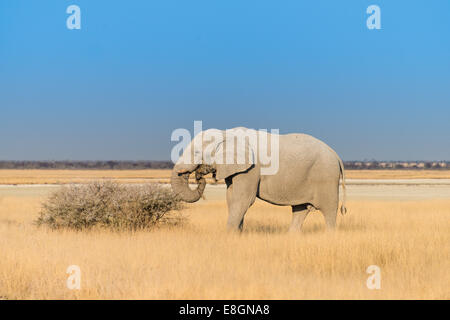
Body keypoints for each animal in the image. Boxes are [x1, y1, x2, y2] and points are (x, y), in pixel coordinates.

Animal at [171, 127, 346, 232]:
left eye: (197, 153)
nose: (200, 175)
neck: (225, 133)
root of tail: (336, 154)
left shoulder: (251, 169)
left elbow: (243, 200)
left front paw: (229, 236)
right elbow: (231, 198)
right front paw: (237, 234)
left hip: (327, 177)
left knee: (329, 211)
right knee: (300, 209)